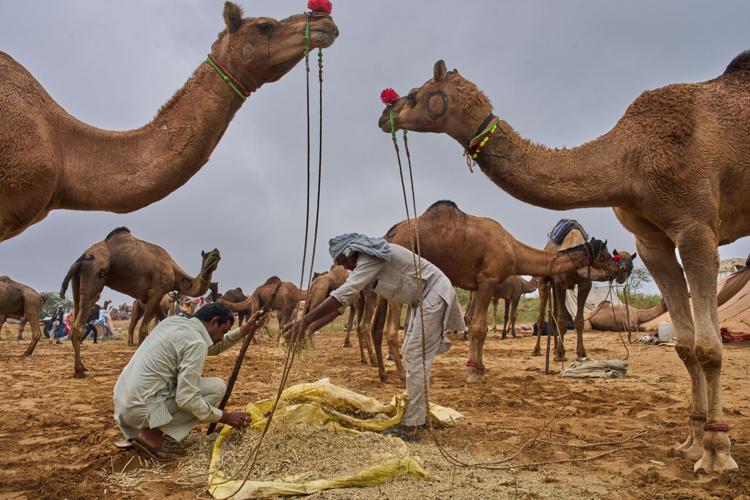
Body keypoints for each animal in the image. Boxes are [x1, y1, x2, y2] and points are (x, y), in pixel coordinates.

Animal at [59, 227, 220, 377]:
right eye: (206, 255)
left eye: (217, 256)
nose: (216, 252)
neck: (174, 272)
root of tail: (79, 260)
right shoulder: (157, 291)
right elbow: (143, 330)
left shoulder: (148, 298)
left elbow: (161, 324)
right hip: (95, 276)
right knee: (80, 322)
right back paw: (80, 370)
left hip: (77, 283)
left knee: (76, 309)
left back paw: (81, 366)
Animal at [371, 200, 618, 383]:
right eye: (605, 255)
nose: (618, 268)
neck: (513, 250)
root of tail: (389, 236)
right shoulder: (488, 279)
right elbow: (479, 327)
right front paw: (474, 373)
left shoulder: (484, 285)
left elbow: (479, 326)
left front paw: (480, 366)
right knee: (391, 330)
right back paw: (403, 375)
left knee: (378, 326)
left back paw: (385, 374)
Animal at [533, 224, 637, 361]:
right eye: (608, 257)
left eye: (631, 266)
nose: (620, 274)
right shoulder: (561, 283)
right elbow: (562, 320)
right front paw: (561, 354)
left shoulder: (585, 284)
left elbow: (579, 320)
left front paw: (581, 353)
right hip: (544, 280)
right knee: (541, 316)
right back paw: (537, 350)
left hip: (554, 286)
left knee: (554, 314)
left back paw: (554, 349)